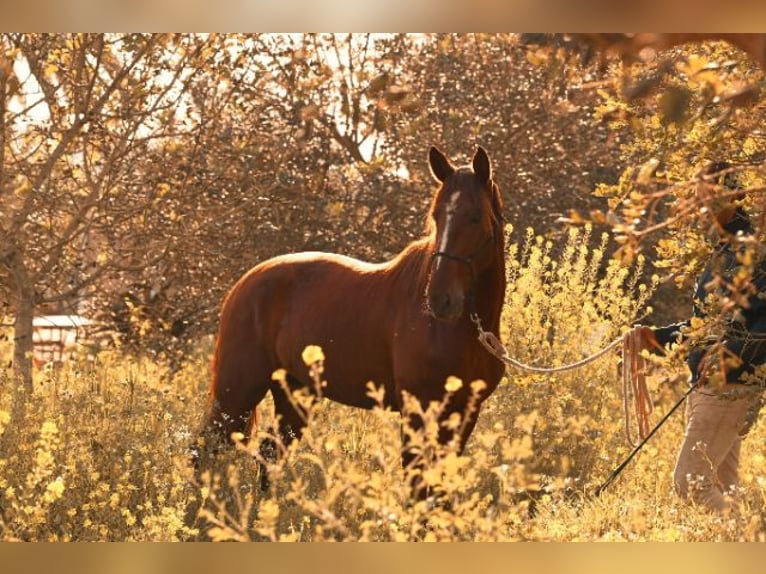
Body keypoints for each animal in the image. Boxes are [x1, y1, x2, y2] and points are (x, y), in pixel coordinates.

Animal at [198, 146, 507, 497]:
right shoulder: (417, 412)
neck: (461, 332)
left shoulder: (463, 414)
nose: (440, 300)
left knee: (269, 453)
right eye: (436, 217)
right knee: (206, 449)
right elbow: (417, 486)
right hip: (237, 391)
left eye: (475, 216)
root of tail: (244, 284)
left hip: (294, 394)